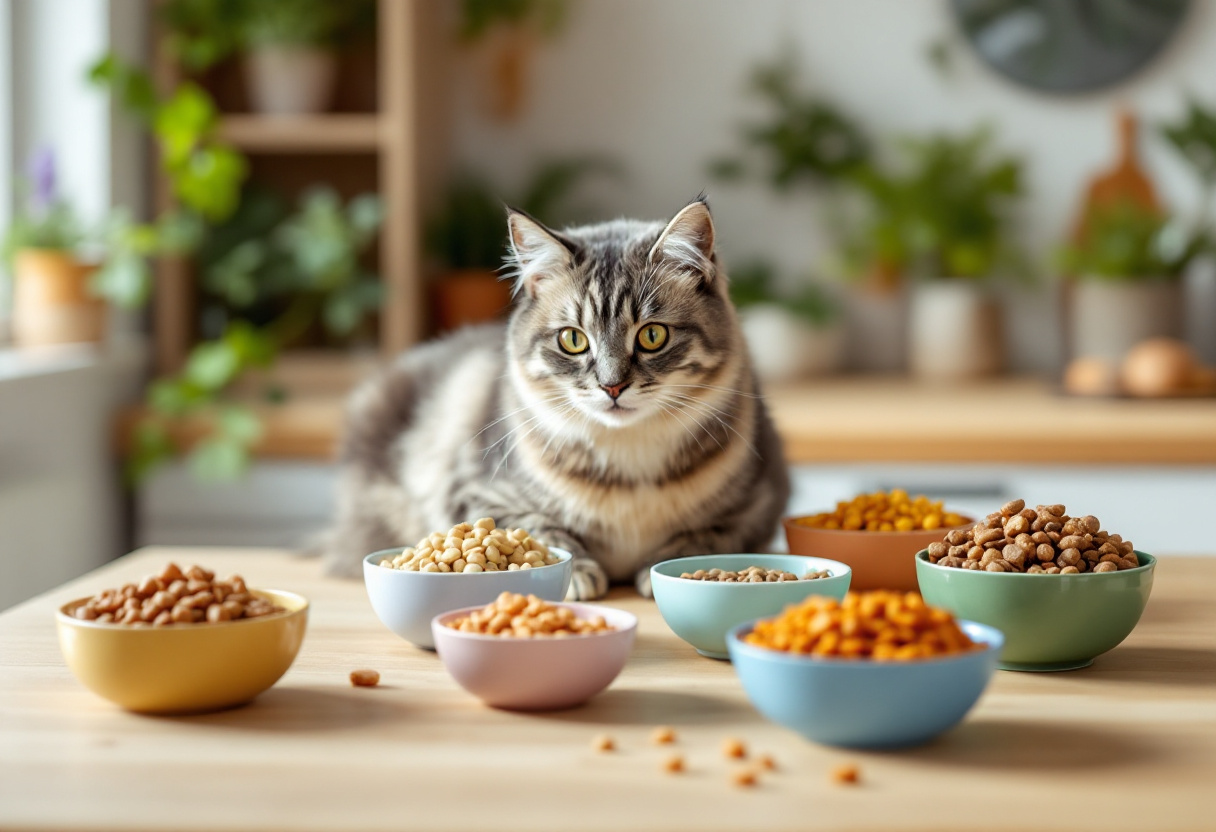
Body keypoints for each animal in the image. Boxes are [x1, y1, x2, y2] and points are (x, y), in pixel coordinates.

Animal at [323, 197, 792, 598]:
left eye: (653, 335)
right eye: (573, 340)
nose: (612, 386)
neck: (627, 466)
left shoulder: (759, 504)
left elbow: (704, 535)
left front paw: (658, 568)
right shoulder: (476, 492)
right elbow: (541, 527)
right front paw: (578, 573)